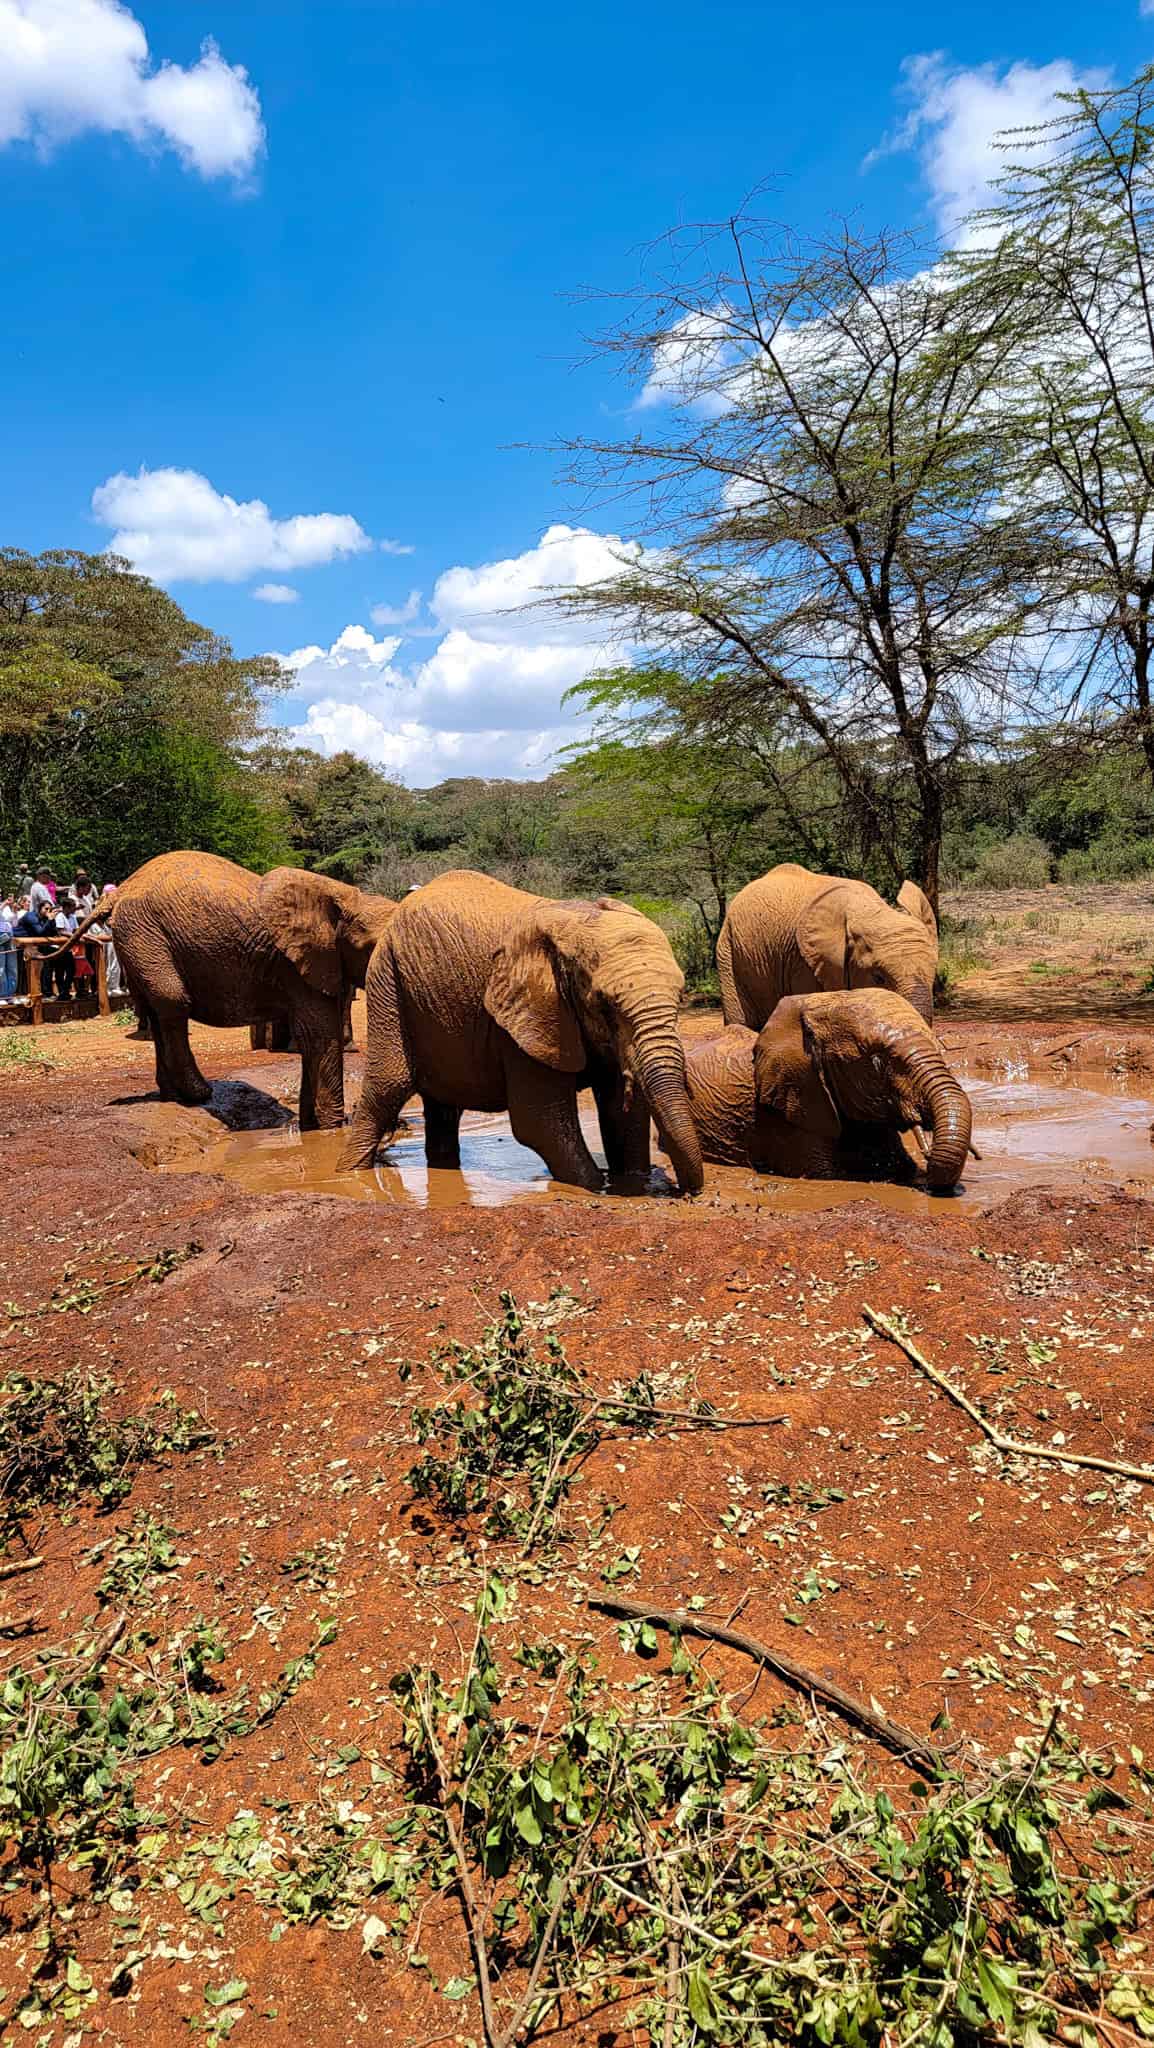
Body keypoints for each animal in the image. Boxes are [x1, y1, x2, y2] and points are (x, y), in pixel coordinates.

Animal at [338, 868, 705, 1196]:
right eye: (603, 1004)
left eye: (680, 998)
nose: (682, 1191)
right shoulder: (526, 1017)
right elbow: (541, 1124)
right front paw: (597, 1188)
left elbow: (625, 1118)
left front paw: (634, 1183)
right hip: (387, 978)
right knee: (388, 1087)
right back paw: (348, 1175)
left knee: (444, 1107)